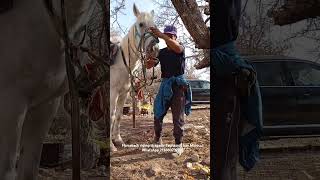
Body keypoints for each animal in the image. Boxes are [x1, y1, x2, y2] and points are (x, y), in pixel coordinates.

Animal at [110, 3, 159, 151]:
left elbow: (118, 115)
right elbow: (111, 115)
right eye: (141, 24)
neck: (122, 62)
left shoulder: (123, 93)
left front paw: (118, 140)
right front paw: (111, 146)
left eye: (154, 25)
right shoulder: (113, 92)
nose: (154, 49)